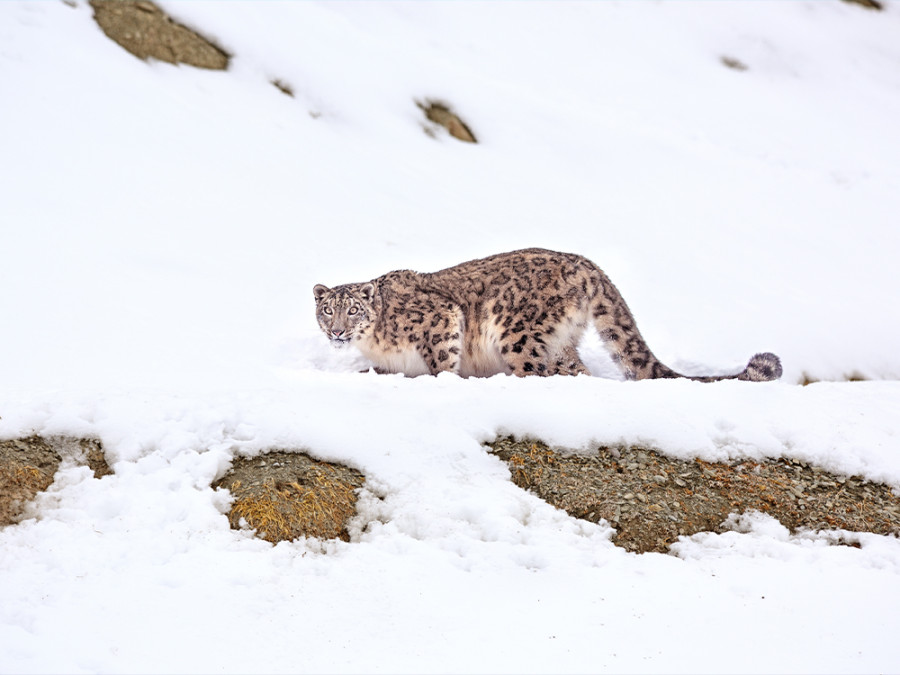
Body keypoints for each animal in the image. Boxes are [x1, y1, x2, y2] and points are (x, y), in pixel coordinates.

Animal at [312, 247, 780, 380]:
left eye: (353, 310)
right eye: (327, 311)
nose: (336, 332)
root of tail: (586, 264)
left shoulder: (441, 320)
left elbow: (441, 361)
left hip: (517, 332)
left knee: (533, 370)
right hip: (561, 342)